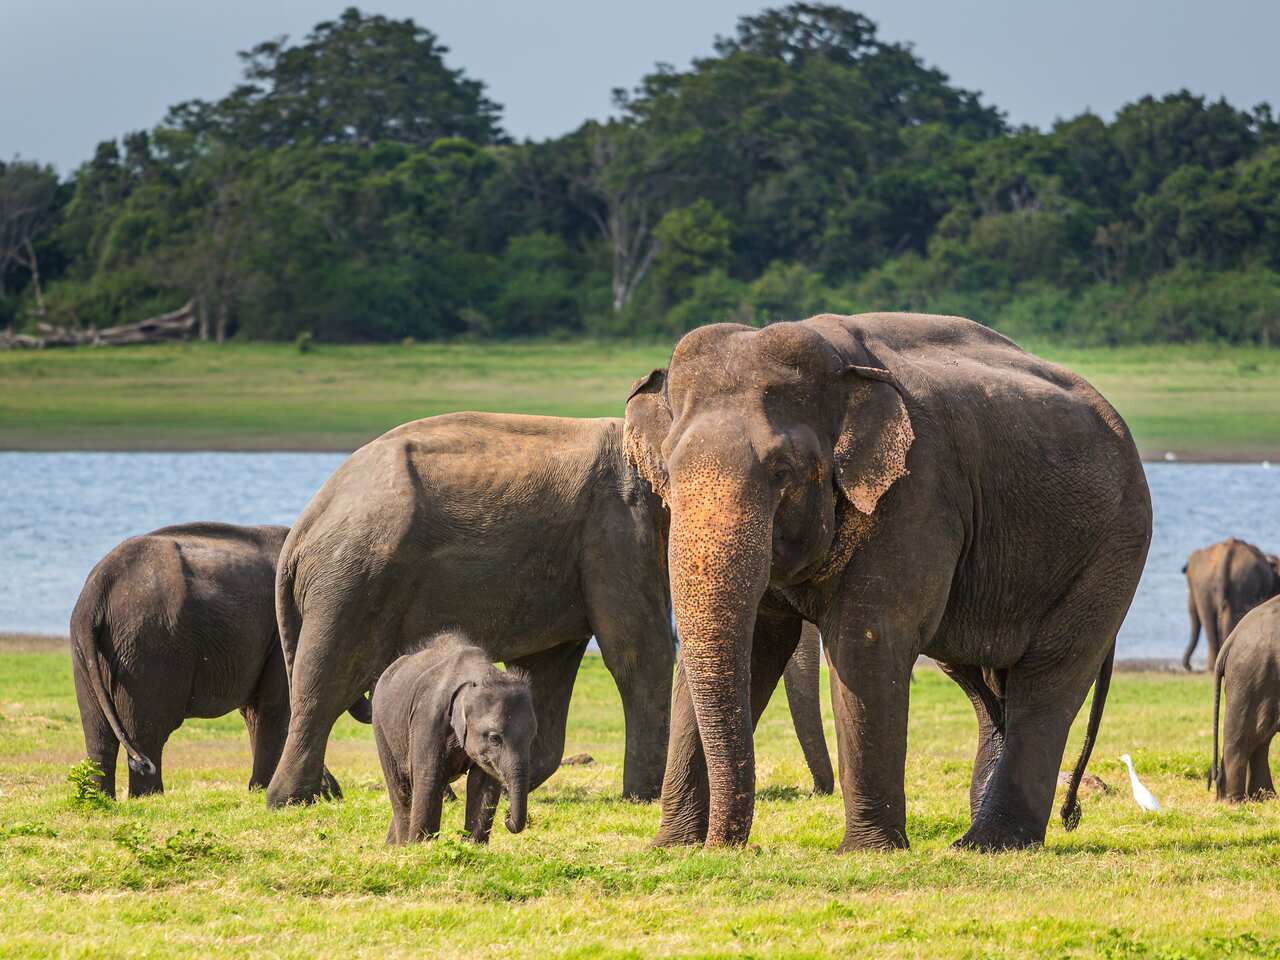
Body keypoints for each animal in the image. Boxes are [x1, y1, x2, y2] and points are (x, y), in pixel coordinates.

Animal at [69, 522, 340, 799]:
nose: (335, 792)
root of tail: (98, 589)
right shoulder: (280, 633)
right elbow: (273, 707)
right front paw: (263, 789)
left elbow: (256, 711)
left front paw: (257, 790)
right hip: (147, 645)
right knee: (147, 733)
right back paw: (149, 797)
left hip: (91, 650)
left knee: (97, 733)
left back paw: (100, 797)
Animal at [266, 412, 835, 809]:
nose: (820, 793)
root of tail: (302, 528)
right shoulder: (616, 526)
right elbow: (639, 649)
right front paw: (642, 797)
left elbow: (548, 666)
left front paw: (506, 781)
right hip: (352, 578)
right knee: (327, 679)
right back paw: (291, 799)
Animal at [373, 631, 536, 843]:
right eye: (494, 738)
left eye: (532, 737)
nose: (507, 818)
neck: (480, 675)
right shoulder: (428, 717)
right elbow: (428, 776)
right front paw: (422, 847)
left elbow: (483, 783)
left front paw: (473, 846)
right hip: (381, 725)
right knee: (402, 788)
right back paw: (402, 845)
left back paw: (391, 846)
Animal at [624, 313, 1151, 852]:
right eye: (668, 469)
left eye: (782, 471)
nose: (724, 844)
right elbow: (752, 646)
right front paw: (672, 846)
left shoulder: (916, 491)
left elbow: (867, 642)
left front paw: (866, 852)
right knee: (985, 685)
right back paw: (971, 839)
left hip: (1114, 548)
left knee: (1049, 679)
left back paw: (992, 842)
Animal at [1209, 595, 1280, 802]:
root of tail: (1232, 638)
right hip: (1252, 675)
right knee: (1245, 736)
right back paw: (1235, 801)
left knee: (1260, 740)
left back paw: (1265, 797)